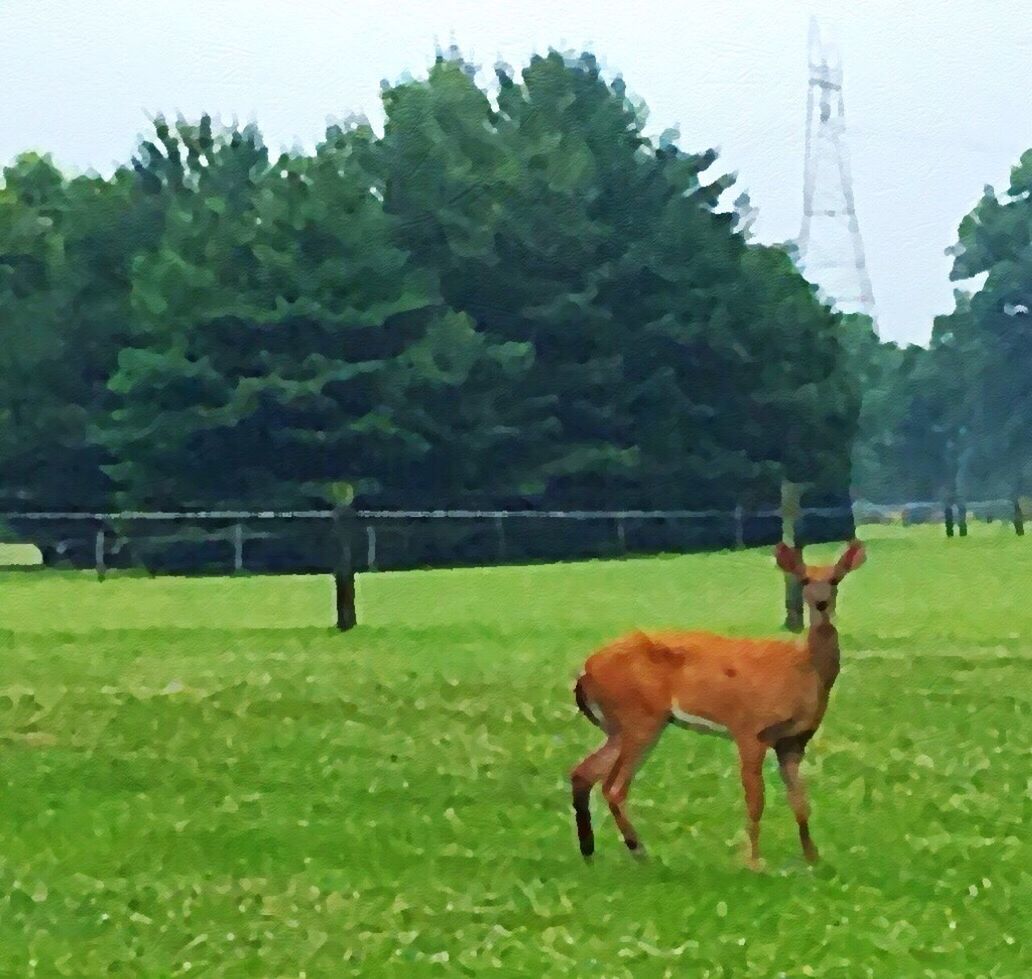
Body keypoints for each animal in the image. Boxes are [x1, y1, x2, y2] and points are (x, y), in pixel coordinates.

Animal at [569, 540, 866, 866]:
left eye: (835, 579)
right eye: (804, 580)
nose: (822, 604)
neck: (803, 671)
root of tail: (584, 673)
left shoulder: (794, 741)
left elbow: (800, 801)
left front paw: (813, 859)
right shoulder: (750, 728)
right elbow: (755, 799)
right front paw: (753, 863)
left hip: (621, 726)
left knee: (582, 773)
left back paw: (590, 852)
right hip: (639, 716)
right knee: (613, 786)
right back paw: (639, 851)